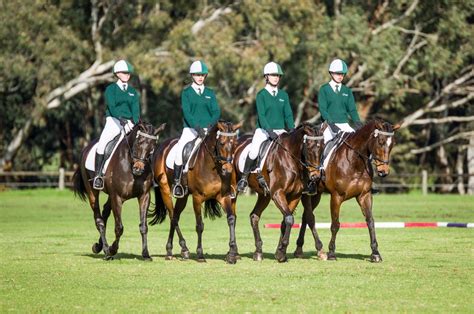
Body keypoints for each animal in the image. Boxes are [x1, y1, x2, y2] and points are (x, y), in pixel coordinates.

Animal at [71, 121, 166, 262]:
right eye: (139, 142)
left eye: (153, 147)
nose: (138, 169)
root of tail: (86, 148)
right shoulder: (117, 197)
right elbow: (119, 228)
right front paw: (112, 250)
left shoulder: (144, 196)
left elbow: (143, 227)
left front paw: (145, 254)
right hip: (93, 192)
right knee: (99, 219)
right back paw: (106, 251)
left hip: (110, 196)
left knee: (105, 213)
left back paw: (99, 246)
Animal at [148, 119, 243, 264]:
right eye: (221, 142)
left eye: (234, 144)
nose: (228, 169)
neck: (212, 166)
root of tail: (162, 146)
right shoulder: (197, 198)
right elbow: (200, 225)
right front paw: (200, 254)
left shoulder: (224, 197)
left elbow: (231, 219)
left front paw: (232, 254)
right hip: (165, 190)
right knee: (173, 217)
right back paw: (178, 250)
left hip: (183, 196)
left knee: (175, 216)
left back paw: (177, 250)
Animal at [232, 123, 322, 262]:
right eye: (310, 148)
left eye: (322, 148)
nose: (315, 177)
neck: (290, 159)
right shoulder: (277, 193)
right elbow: (289, 218)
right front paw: (282, 248)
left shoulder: (295, 195)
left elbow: (287, 219)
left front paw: (280, 252)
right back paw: (234, 253)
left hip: (264, 196)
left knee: (254, 216)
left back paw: (258, 252)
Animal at [294, 120, 402, 262]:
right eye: (380, 141)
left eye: (392, 144)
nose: (383, 172)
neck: (355, 162)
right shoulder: (336, 197)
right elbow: (335, 224)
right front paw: (331, 253)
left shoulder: (364, 196)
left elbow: (370, 221)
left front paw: (375, 253)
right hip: (307, 195)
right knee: (308, 215)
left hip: (317, 195)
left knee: (305, 216)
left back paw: (299, 250)